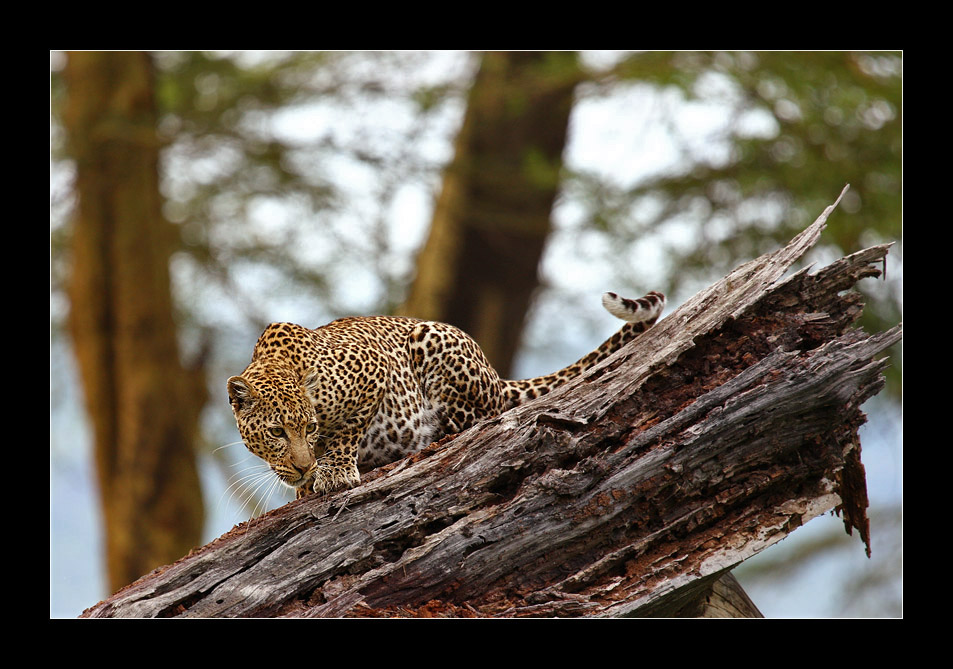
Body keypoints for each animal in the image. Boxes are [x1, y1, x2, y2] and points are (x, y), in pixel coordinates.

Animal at [227, 290, 664, 498]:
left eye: (310, 427)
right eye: (277, 432)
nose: (302, 467)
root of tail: (497, 377)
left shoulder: (373, 369)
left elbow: (349, 429)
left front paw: (333, 471)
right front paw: (307, 479)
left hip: (432, 340)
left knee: (476, 420)